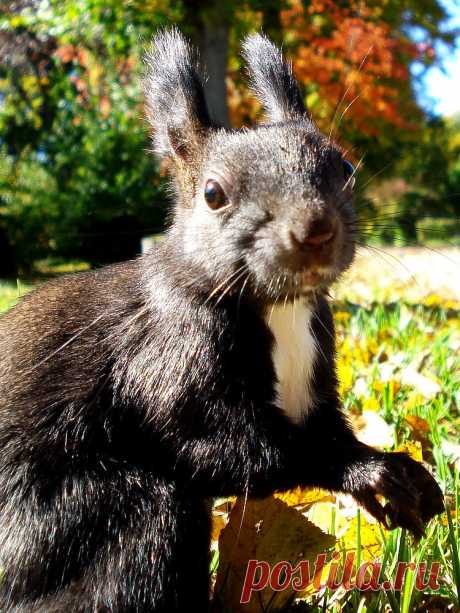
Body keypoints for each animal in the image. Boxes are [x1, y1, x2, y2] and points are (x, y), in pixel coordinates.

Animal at [0, 29, 446, 612]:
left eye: (345, 170)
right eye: (213, 194)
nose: (316, 229)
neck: (280, 308)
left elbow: (324, 428)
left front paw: (396, 477)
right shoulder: (171, 361)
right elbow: (233, 450)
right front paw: (373, 472)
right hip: (64, 520)